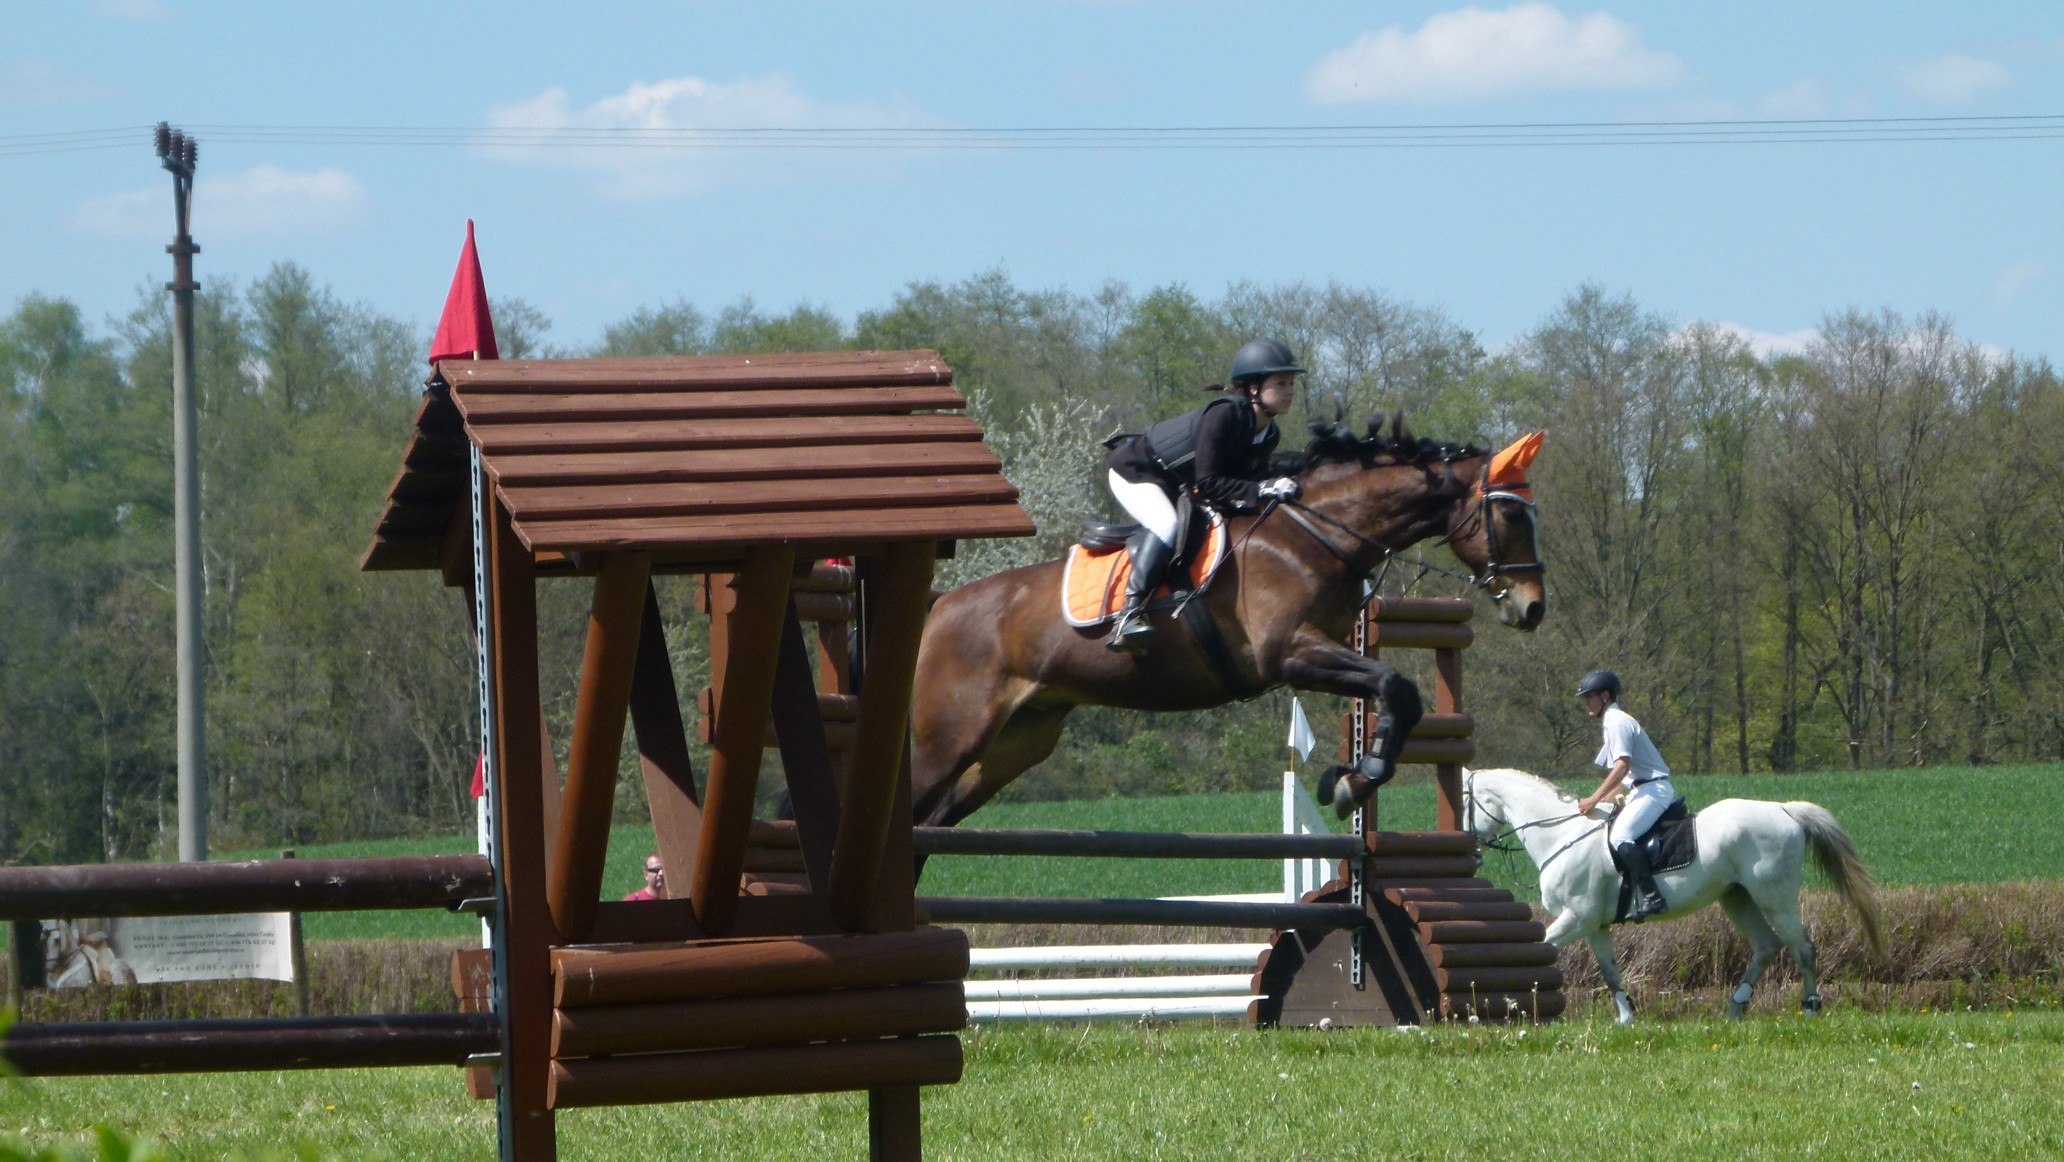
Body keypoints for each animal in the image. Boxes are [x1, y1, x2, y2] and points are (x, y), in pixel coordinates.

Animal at [908, 419, 1549, 832]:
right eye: (1511, 514)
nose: (1532, 608)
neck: (1314, 534)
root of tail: (941, 606)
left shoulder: (1328, 648)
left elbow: (1399, 694)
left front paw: (1352, 778)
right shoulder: (1290, 653)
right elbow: (1396, 685)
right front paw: (1357, 778)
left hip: (1017, 741)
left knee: (934, 820)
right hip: (952, 737)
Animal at [1460, 766, 1888, 1023]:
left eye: (1462, 800)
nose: (1473, 852)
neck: (1562, 833)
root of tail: (1784, 809)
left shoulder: (1577, 918)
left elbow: (1541, 949)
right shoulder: (1594, 926)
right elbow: (1611, 972)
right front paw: (1627, 1020)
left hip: (1774, 897)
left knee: (1802, 948)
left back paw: (1810, 1009)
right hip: (1737, 897)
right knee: (1766, 946)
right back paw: (1735, 1009)